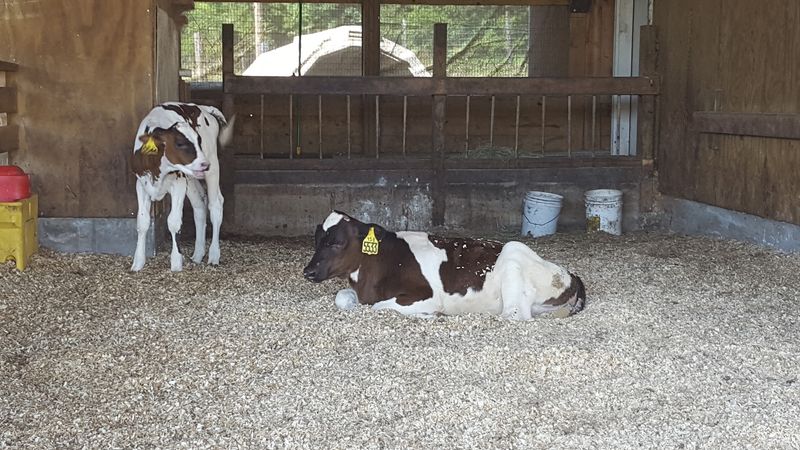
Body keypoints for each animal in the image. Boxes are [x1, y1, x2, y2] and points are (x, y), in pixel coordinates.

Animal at [129, 102, 234, 272]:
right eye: (180, 143)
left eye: (198, 141)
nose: (204, 164)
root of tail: (203, 108)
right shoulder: (141, 184)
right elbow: (142, 222)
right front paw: (138, 262)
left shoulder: (178, 182)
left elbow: (173, 222)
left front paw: (176, 263)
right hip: (191, 177)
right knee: (199, 203)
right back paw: (198, 254)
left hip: (211, 164)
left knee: (216, 204)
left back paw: (213, 255)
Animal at [303, 211, 586, 320]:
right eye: (317, 240)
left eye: (337, 242)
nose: (308, 271)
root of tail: (570, 274)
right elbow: (343, 298)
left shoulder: (424, 295)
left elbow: (380, 307)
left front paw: (429, 315)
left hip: (513, 254)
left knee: (513, 314)